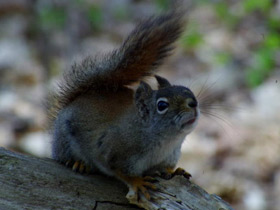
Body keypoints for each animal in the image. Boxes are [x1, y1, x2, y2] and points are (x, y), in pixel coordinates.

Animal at [49, 8, 200, 201]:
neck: (166, 141)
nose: (193, 103)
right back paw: (77, 162)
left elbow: (166, 168)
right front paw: (138, 182)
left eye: (186, 89)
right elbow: (121, 171)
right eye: (162, 106)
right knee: (64, 155)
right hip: (64, 139)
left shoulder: (169, 156)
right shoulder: (115, 152)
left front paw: (176, 171)